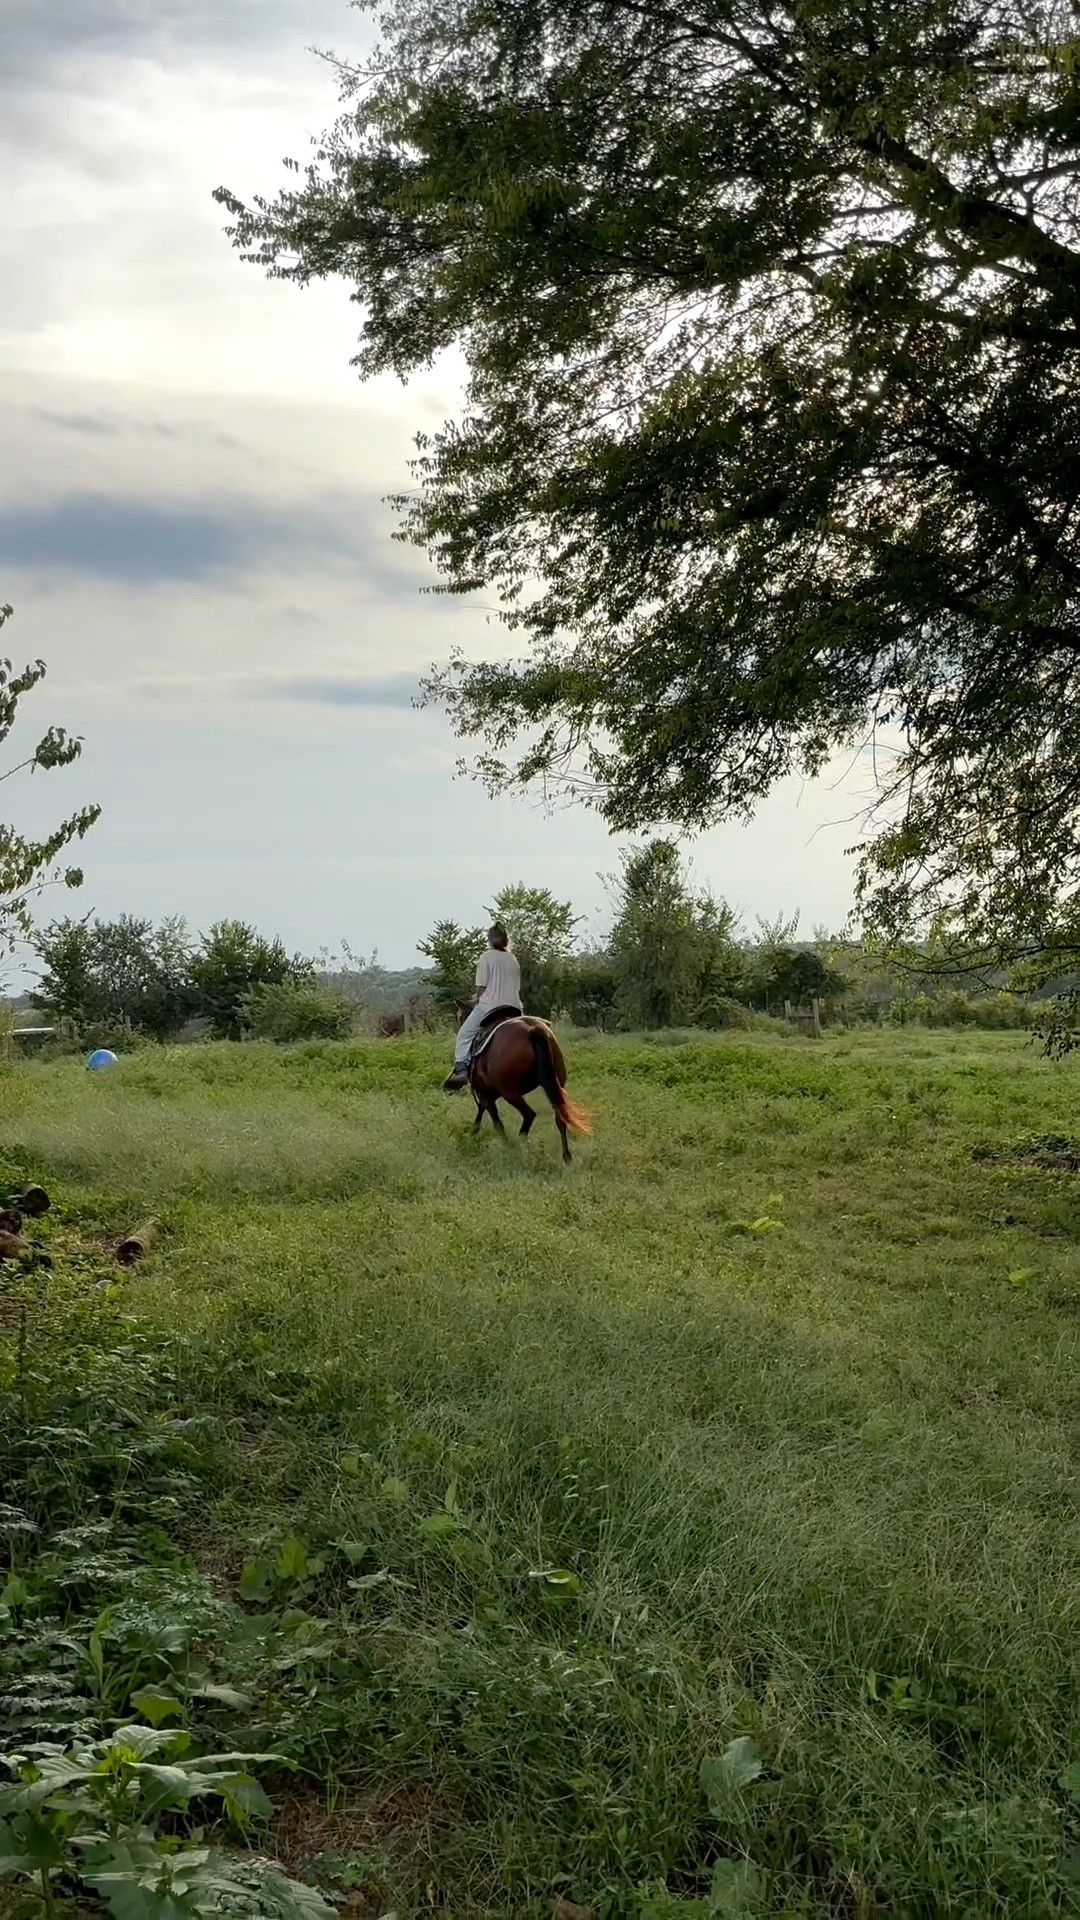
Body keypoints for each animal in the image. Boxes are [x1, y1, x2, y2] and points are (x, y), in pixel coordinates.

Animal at [454, 1004, 590, 1163]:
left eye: (459, 1017)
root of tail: (533, 1030)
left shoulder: (484, 1094)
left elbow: (496, 1122)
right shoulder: (488, 1094)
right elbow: (482, 1112)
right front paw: (473, 1133)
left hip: (510, 1093)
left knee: (529, 1114)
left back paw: (518, 1146)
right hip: (555, 1087)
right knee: (560, 1117)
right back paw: (566, 1157)